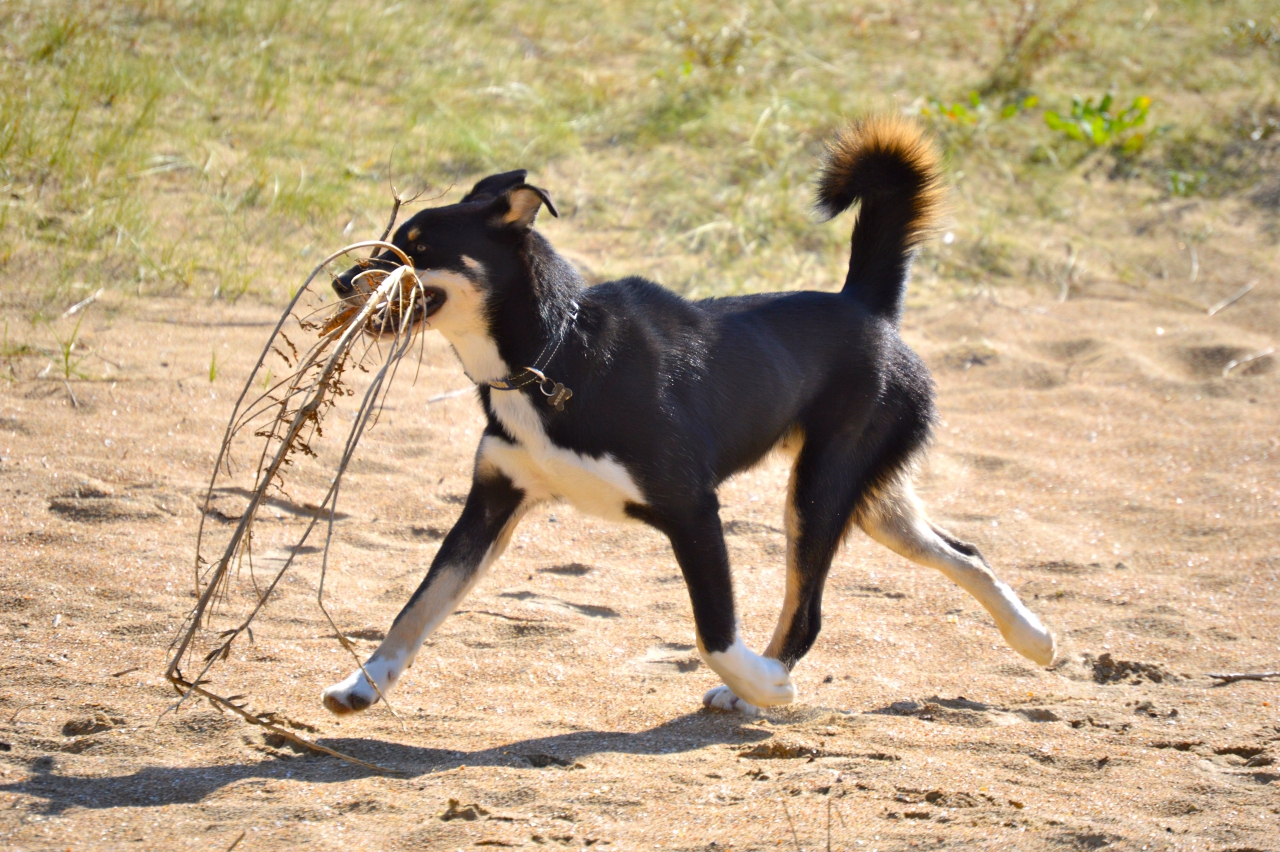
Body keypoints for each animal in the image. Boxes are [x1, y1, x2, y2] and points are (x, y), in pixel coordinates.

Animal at [321, 116, 1056, 718]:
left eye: (415, 248)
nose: (338, 282)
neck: (553, 355)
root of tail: (866, 306)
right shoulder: (492, 502)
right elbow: (417, 606)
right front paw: (363, 684)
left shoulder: (692, 510)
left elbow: (713, 633)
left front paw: (764, 686)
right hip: (867, 498)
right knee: (964, 552)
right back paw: (1035, 638)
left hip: (819, 493)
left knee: (809, 611)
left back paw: (755, 690)